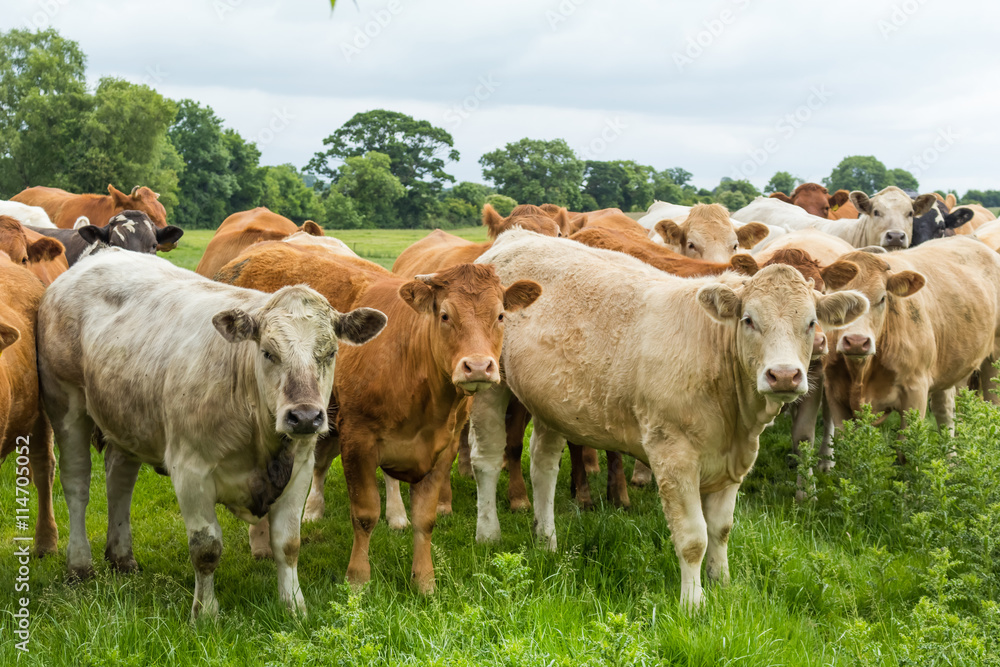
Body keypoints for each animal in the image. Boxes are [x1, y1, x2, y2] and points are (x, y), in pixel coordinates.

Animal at [36, 250, 386, 620]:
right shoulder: (190, 471)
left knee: (119, 481)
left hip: (126, 419)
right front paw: (205, 613)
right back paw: (79, 565)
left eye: (330, 352)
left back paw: (121, 557)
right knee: (77, 486)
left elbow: (288, 544)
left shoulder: (300, 468)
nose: (305, 416)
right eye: (268, 353)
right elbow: (206, 548)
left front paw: (294, 607)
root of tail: (102, 254)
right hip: (66, 406)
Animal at [216, 243, 544, 592]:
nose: (479, 366)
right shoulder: (357, 440)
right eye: (445, 315)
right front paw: (358, 578)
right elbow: (365, 513)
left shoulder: (445, 446)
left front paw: (424, 581)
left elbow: (425, 518)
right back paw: (264, 541)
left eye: (500, 316)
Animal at [468, 231, 868, 612]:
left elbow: (721, 529)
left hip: (551, 402)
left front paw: (722, 583)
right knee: (486, 459)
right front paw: (692, 603)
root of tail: (515, 236)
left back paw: (546, 540)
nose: (784, 375)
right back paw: (488, 534)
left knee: (543, 465)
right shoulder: (673, 454)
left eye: (811, 322)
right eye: (749, 320)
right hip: (489, 383)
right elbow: (693, 537)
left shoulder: (734, 459)